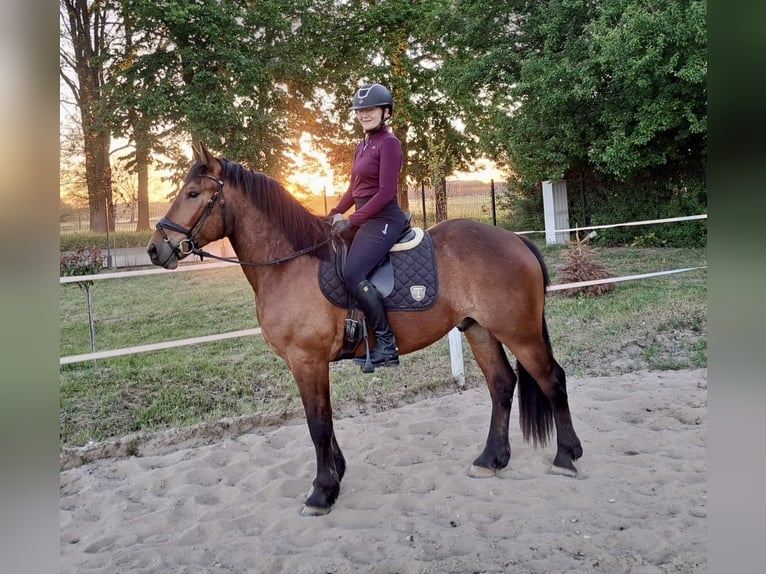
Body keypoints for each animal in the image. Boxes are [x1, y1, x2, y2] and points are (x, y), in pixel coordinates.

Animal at [147, 142, 583, 516]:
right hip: (479, 330)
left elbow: (318, 423)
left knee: (552, 380)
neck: (290, 263)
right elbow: (324, 421)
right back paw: (491, 459)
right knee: (502, 385)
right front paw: (335, 476)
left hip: (520, 332)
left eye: (193, 193)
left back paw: (566, 457)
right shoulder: (308, 364)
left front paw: (322, 491)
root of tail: (515, 241)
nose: (155, 249)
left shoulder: (307, 360)